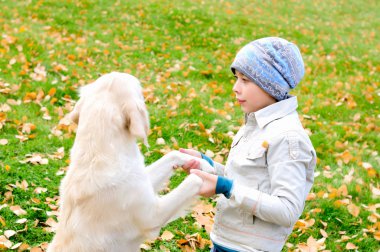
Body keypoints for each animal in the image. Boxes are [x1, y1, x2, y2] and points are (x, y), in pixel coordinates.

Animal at [46, 72, 214, 251]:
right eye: (140, 88)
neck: (97, 155)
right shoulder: (153, 216)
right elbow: (193, 181)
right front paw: (209, 178)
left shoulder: (141, 179)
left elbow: (173, 154)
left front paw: (202, 163)